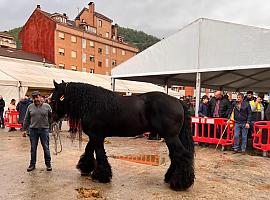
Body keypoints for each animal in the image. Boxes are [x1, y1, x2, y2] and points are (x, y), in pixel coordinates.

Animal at [50, 81, 194, 191]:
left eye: (53, 100)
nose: (52, 119)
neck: (92, 104)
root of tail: (178, 101)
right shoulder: (94, 136)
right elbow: (89, 150)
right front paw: (85, 168)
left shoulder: (97, 136)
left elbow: (100, 154)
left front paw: (102, 176)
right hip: (171, 137)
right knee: (175, 157)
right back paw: (170, 177)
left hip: (171, 137)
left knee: (182, 155)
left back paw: (180, 183)